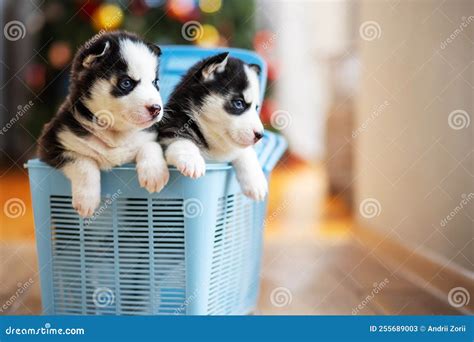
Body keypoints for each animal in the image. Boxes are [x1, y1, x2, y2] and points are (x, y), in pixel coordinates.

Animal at [39, 32, 169, 219]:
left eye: (155, 83)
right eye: (126, 83)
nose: (156, 109)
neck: (114, 134)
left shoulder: (150, 135)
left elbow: (150, 145)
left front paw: (154, 173)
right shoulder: (51, 142)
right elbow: (84, 161)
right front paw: (87, 199)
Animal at [159, 51, 266, 199]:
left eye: (256, 108)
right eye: (239, 103)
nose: (260, 135)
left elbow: (246, 152)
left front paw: (256, 181)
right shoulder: (169, 129)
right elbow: (182, 140)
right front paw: (192, 160)